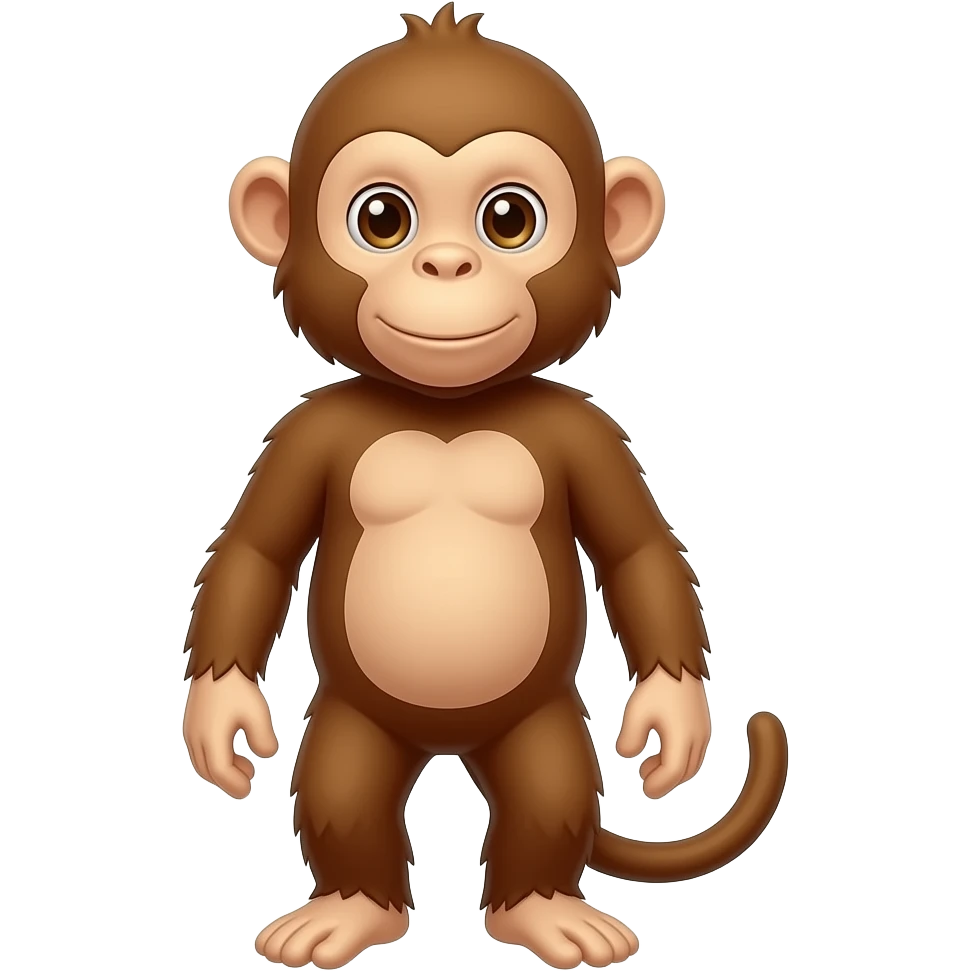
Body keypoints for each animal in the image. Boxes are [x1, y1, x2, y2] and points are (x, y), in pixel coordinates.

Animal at [181, 6, 789, 970]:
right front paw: (221, 718)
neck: (448, 410)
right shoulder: (305, 430)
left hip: (539, 718)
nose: (444, 265)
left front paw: (670, 720)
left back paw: (545, 909)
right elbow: (255, 550)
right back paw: (348, 909)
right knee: (343, 786)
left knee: (548, 789)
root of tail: (447, 742)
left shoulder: (588, 431)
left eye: (508, 218)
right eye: (381, 218)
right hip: (353, 716)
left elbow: (637, 550)